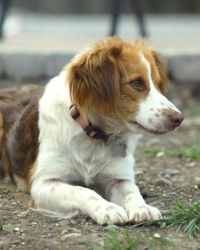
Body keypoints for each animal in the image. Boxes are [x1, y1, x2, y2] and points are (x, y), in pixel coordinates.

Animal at [0, 36, 184, 225]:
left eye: (157, 84)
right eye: (136, 83)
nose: (179, 118)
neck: (95, 135)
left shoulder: (119, 179)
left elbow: (133, 192)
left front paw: (143, 208)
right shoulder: (44, 183)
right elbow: (83, 191)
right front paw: (107, 208)